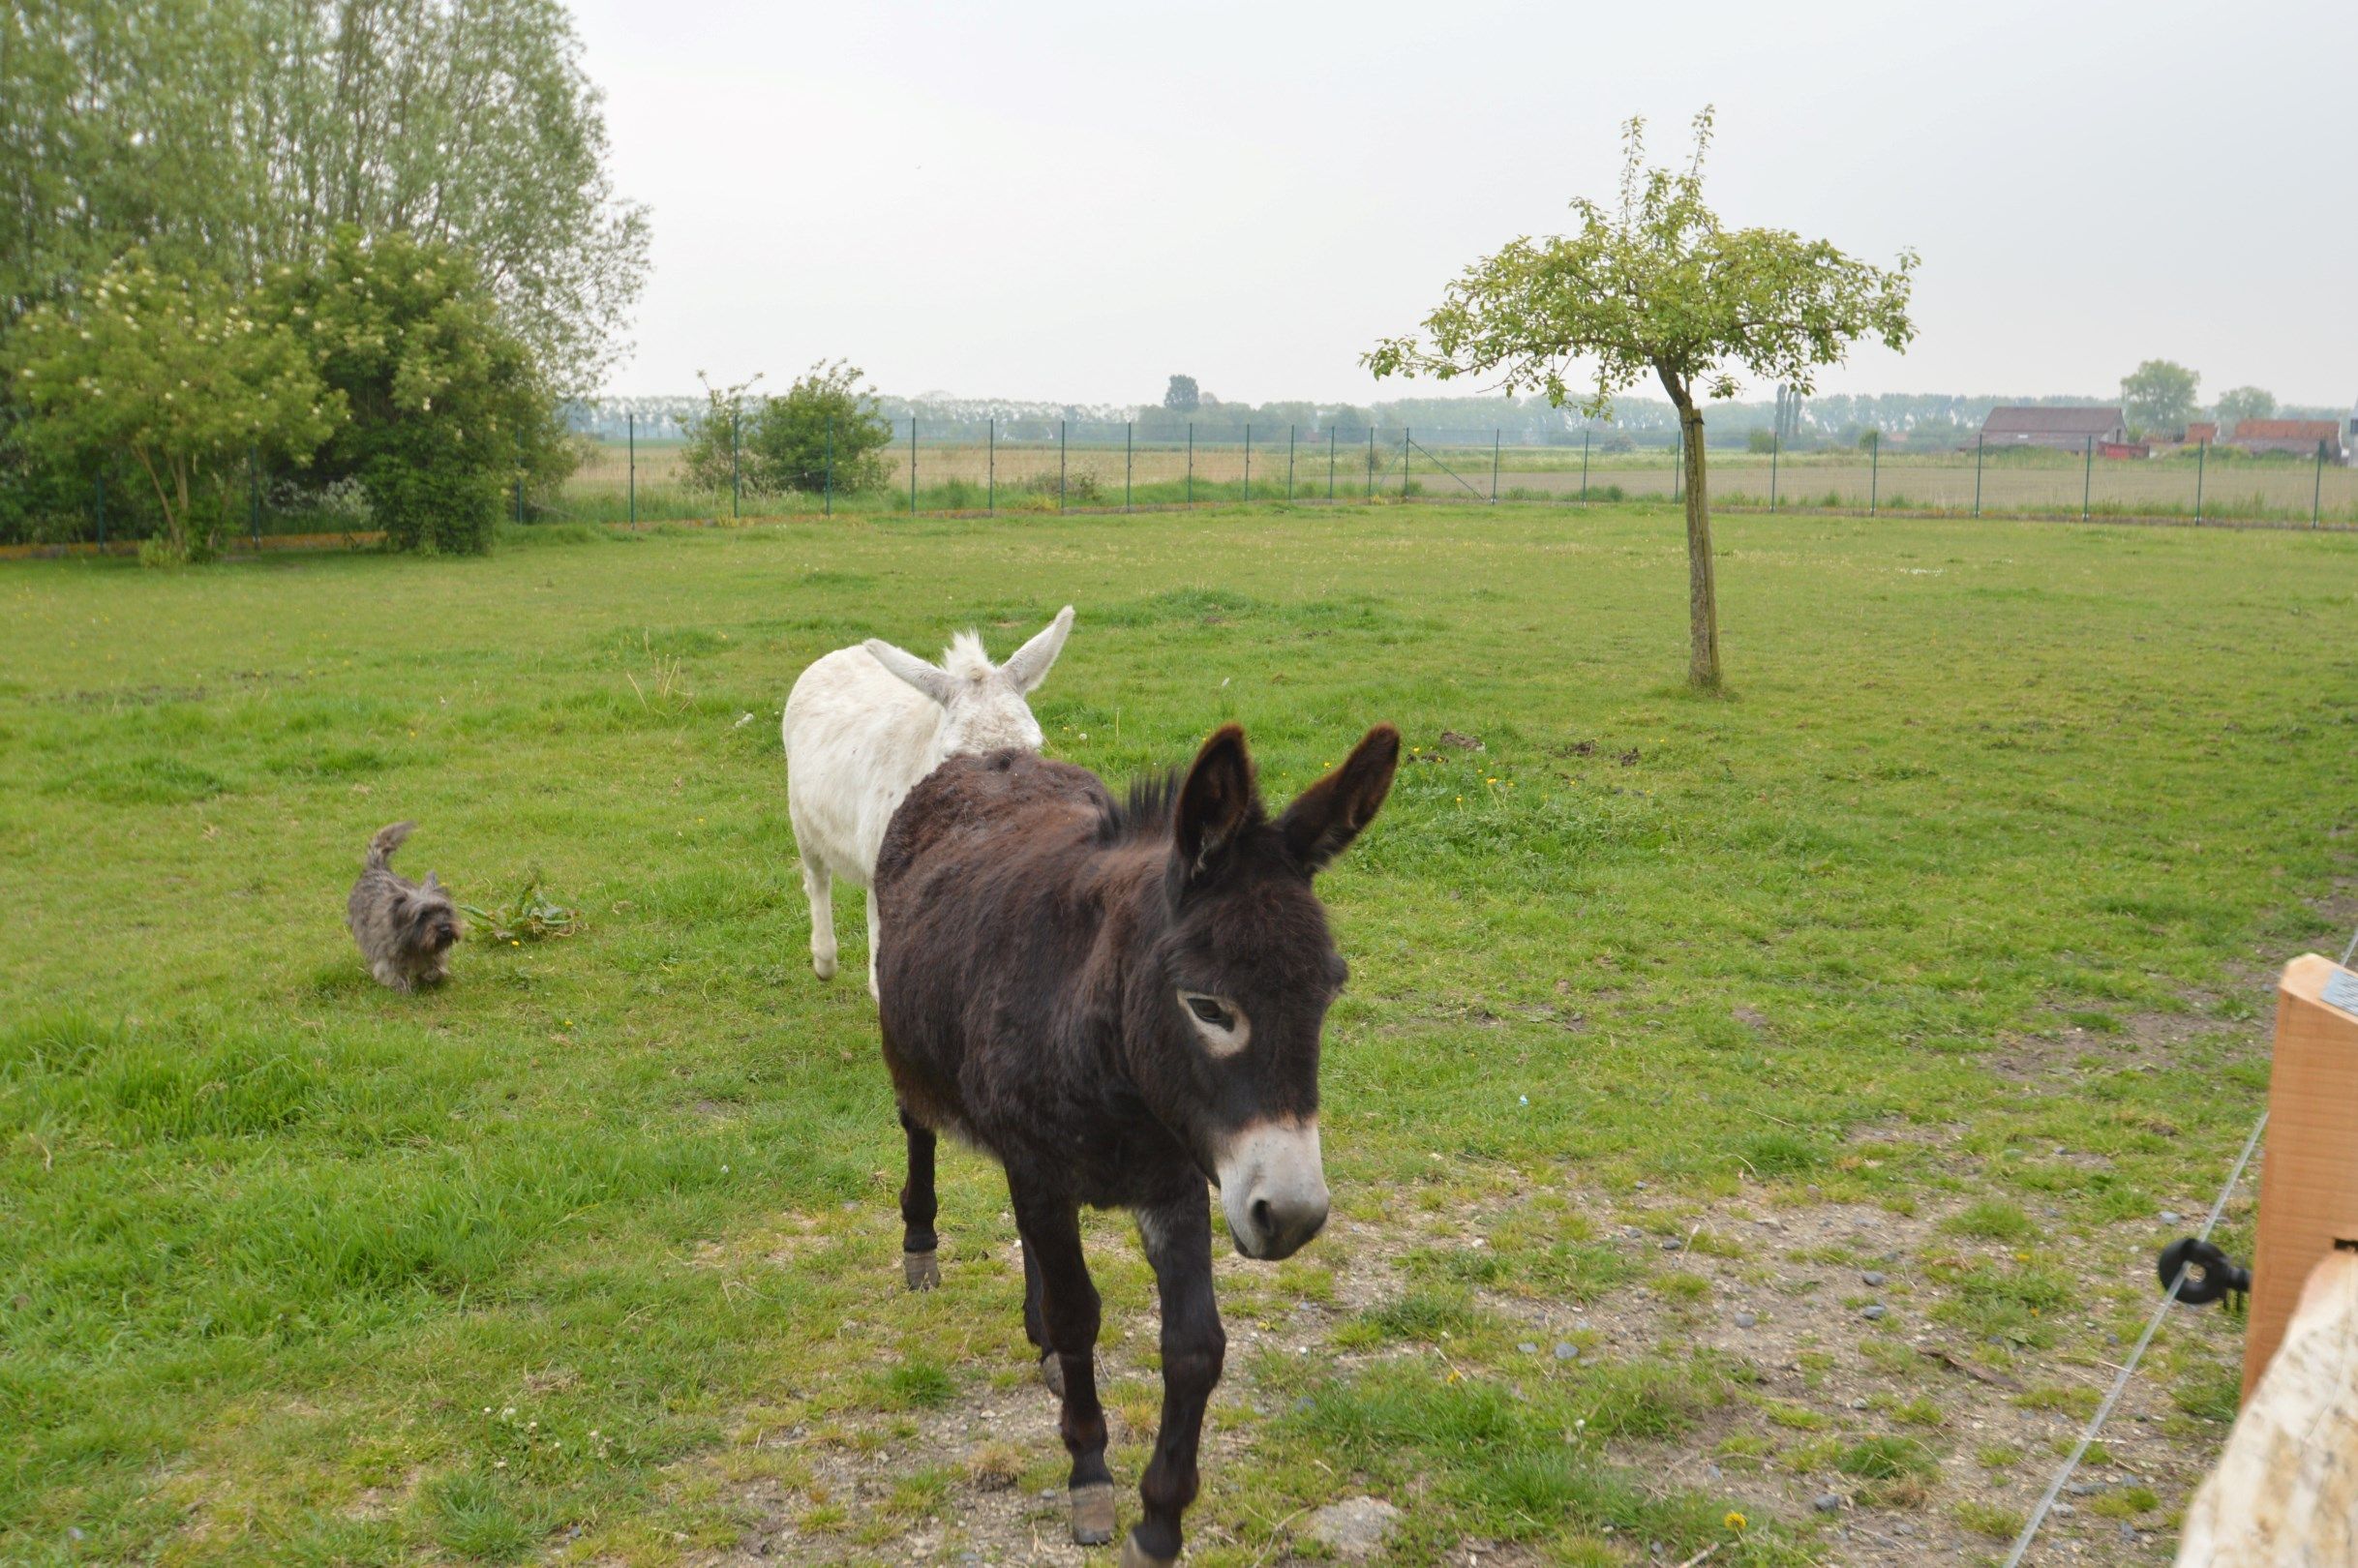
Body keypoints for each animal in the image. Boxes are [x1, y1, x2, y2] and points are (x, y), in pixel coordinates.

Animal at [347, 820, 462, 990]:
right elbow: (393, 973)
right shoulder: (387, 955)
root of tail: (375, 868)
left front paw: (432, 976)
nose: (445, 929)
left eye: (444, 910)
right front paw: (402, 988)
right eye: (423, 916)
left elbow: (435, 965)